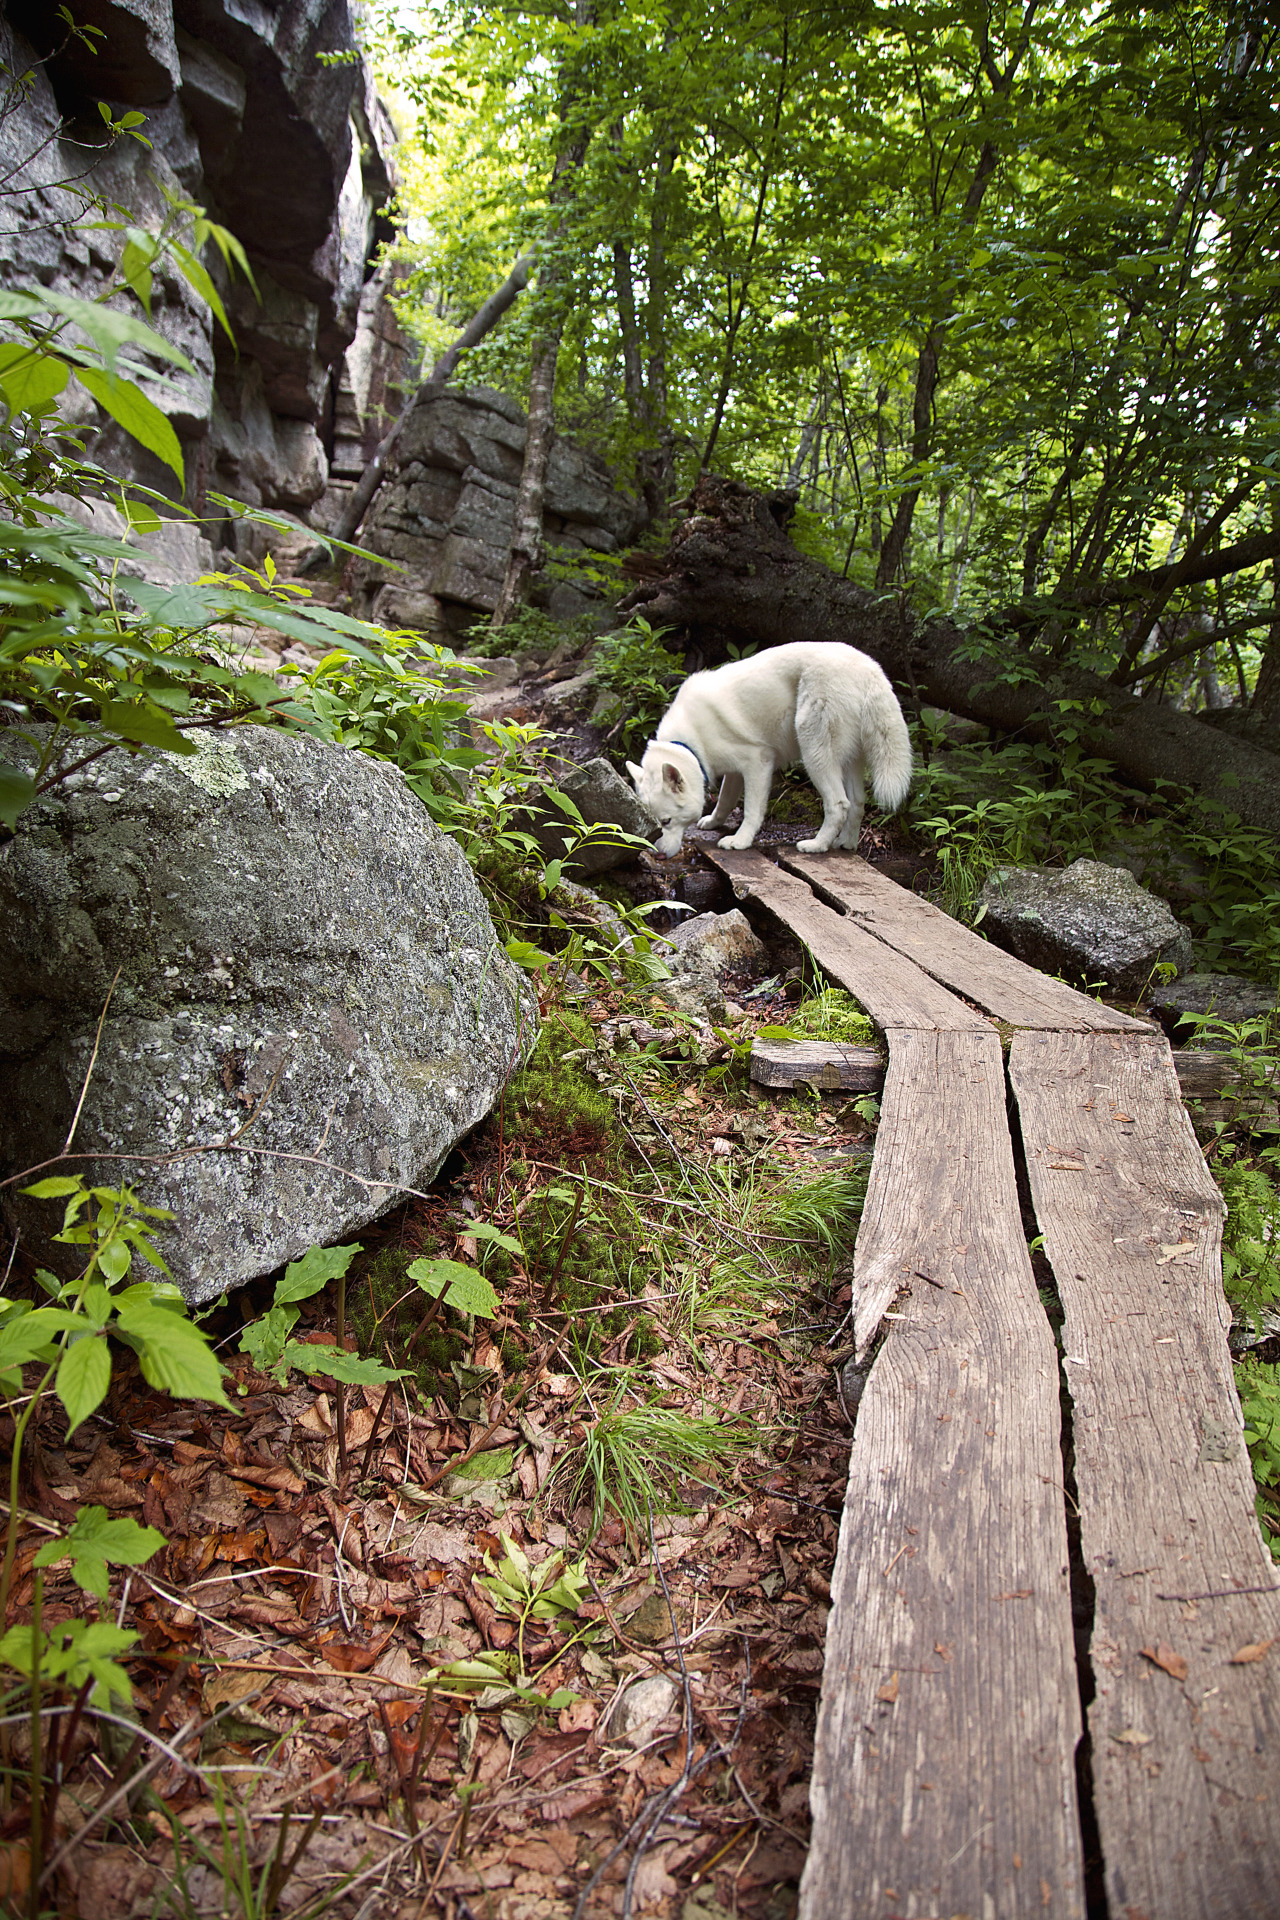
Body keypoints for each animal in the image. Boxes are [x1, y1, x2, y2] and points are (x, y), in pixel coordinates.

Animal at [629, 645, 909, 856]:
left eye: (666, 822)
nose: (656, 854)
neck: (690, 744)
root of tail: (870, 670)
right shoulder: (734, 771)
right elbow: (724, 800)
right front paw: (712, 822)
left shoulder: (758, 762)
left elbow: (751, 810)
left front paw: (740, 841)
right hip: (850, 760)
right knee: (858, 802)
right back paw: (846, 843)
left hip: (813, 750)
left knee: (839, 803)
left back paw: (817, 845)